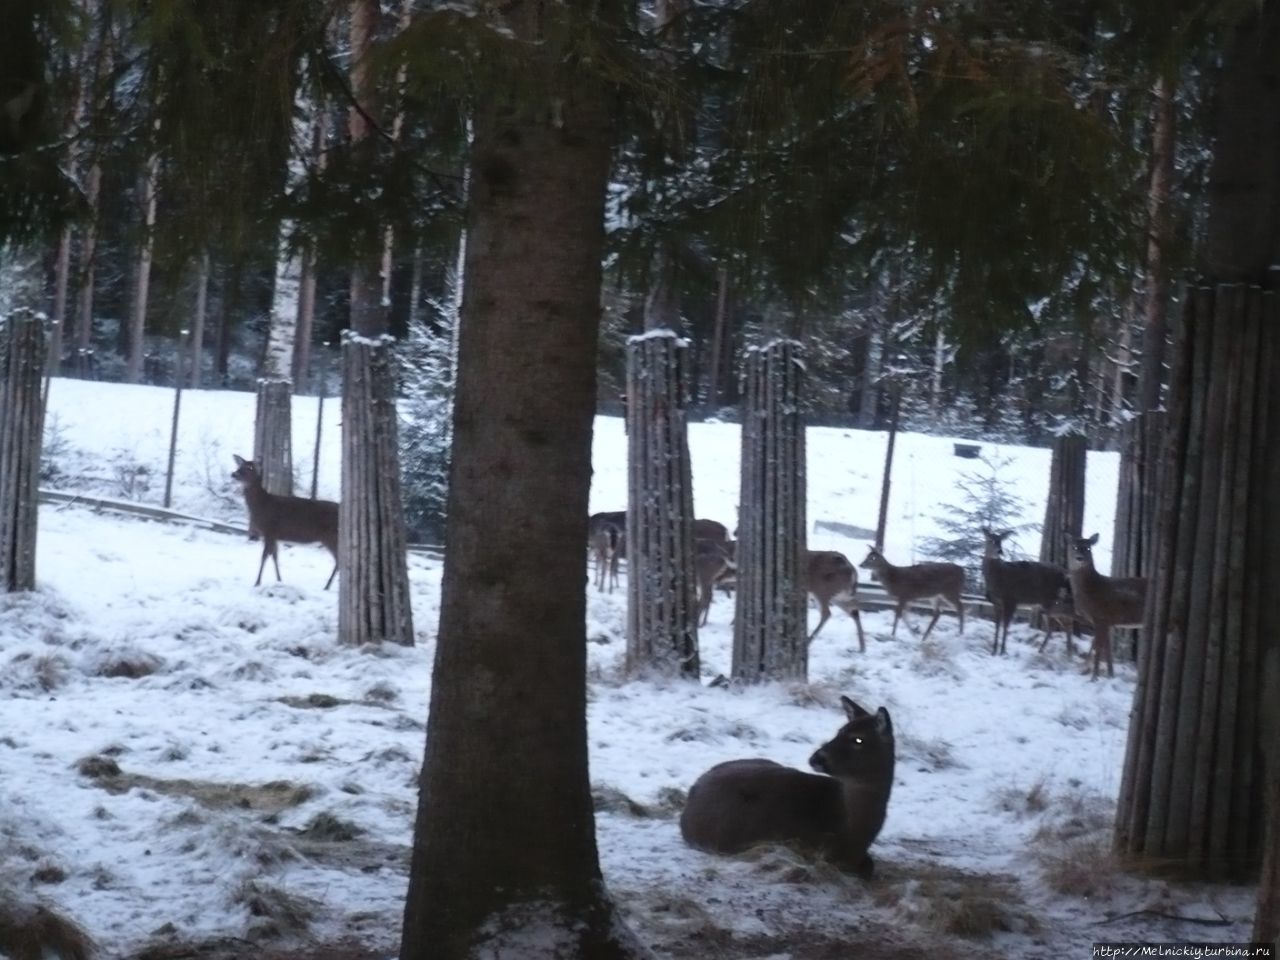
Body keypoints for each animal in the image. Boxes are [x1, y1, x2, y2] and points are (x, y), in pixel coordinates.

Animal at [230, 455, 337, 591]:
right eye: (240, 466)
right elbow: (275, 556)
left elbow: (264, 556)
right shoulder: (274, 535)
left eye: (250, 468)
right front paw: (279, 580)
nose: (234, 474)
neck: (262, 505)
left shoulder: (269, 530)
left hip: (331, 536)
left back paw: (327, 586)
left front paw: (257, 582)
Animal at [983, 529, 1075, 660]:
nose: (999, 551)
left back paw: (1063, 652)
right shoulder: (997, 603)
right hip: (1048, 604)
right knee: (1059, 624)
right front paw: (993, 650)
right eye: (990, 540)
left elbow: (1006, 625)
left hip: (1053, 600)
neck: (998, 576)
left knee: (1063, 623)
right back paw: (1052, 651)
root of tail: (1067, 576)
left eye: (1000, 541)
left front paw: (1002, 651)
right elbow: (997, 625)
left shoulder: (1011, 599)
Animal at [1064, 535, 1146, 686]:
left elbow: (1098, 647)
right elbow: (1107, 650)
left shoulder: (1100, 617)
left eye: (1088, 548)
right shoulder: (1108, 621)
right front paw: (1110, 676)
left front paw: (1093, 677)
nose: (1080, 558)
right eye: (1074, 546)